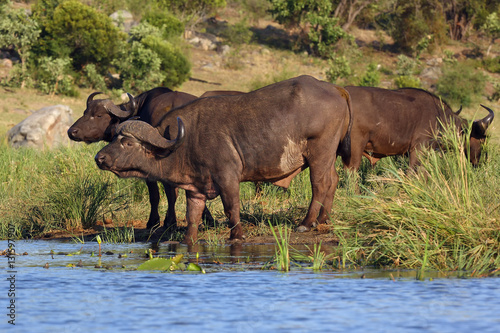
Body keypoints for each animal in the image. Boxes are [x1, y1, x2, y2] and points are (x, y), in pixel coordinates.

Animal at [94, 76, 352, 244]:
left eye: (127, 143)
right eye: (115, 137)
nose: (99, 157)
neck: (184, 140)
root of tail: (337, 89)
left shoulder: (228, 177)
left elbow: (231, 208)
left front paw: (237, 234)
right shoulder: (195, 189)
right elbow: (193, 216)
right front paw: (189, 239)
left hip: (320, 152)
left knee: (320, 184)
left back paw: (307, 222)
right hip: (329, 156)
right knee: (333, 180)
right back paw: (323, 219)